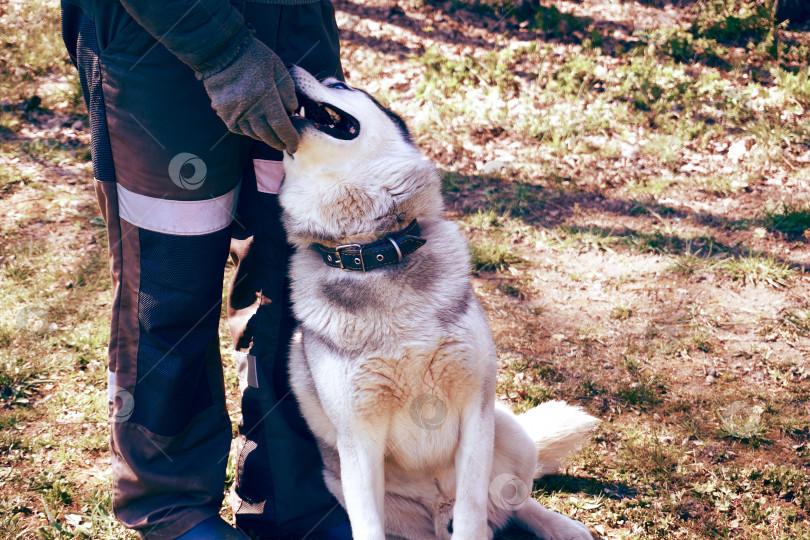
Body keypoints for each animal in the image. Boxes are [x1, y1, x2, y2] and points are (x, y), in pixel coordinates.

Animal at [280, 67, 596, 540]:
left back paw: (560, 526)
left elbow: (472, 512)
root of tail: (436, 505)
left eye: (338, 84)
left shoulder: (474, 414)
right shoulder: (359, 441)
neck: (376, 253)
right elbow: (368, 526)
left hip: (510, 434)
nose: (289, 67)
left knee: (511, 504)